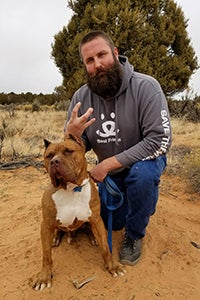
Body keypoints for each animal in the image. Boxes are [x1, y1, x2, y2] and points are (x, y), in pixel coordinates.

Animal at [29, 134, 124, 290]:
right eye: (49, 155)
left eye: (68, 151)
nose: (54, 162)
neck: (71, 189)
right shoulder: (46, 225)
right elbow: (46, 255)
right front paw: (44, 277)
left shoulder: (96, 219)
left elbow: (105, 247)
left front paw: (112, 266)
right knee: (58, 231)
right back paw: (55, 238)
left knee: (88, 229)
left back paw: (92, 237)